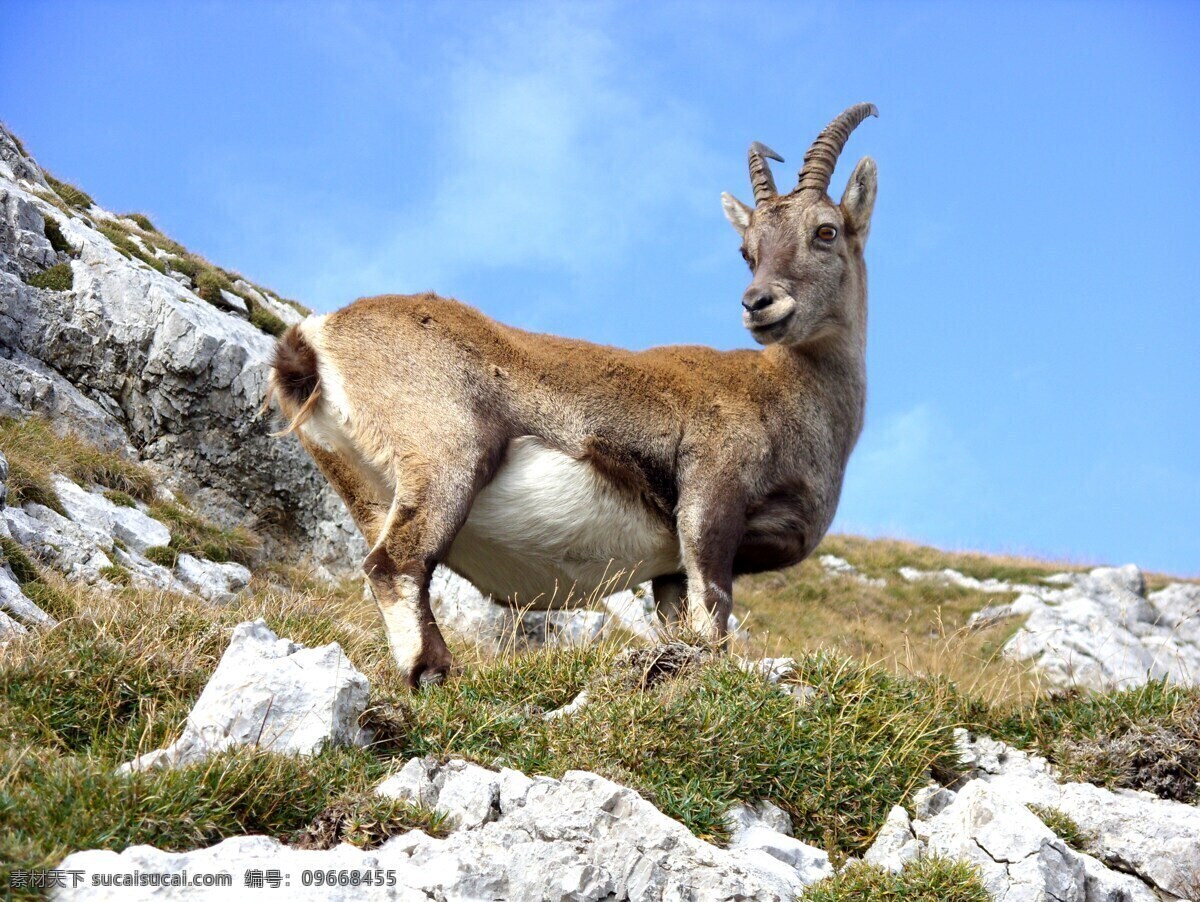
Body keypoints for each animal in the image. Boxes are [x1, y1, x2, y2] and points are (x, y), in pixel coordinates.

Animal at [267, 101, 878, 686]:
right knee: (394, 564)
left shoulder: (671, 568)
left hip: (364, 487)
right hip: (448, 454)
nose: (758, 303)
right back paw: (437, 673)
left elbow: (681, 624)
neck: (789, 395)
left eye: (825, 231)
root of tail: (316, 337)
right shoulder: (711, 499)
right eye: (747, 250)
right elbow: (713, 615)